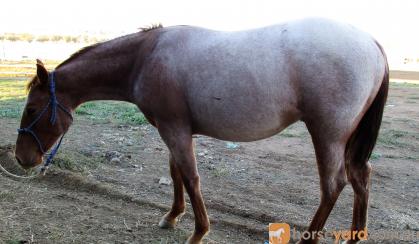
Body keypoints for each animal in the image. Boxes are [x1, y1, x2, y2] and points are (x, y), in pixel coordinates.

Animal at [16, 18, 390, 243]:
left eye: (32, 109)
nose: (22, 158)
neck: (145, 57)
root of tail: (372, 43)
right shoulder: (175, 129)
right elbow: (176, 173)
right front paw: (172, 216)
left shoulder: (174, 129)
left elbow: (191, 177)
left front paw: (198, 231)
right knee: (361, 176)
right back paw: (356, 235)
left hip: (327, 135)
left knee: (334, 185)